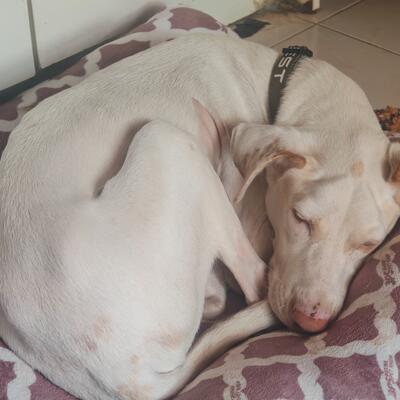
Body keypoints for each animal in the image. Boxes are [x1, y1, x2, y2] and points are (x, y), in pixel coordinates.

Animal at [1, 33, 400, 398]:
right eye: (299, 217)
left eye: (368, 244)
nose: (308, 322)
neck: (279, 85)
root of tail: (121, 377)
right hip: (166, 140)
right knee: (252, 282)